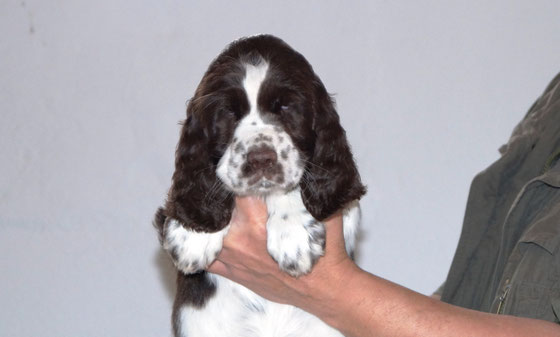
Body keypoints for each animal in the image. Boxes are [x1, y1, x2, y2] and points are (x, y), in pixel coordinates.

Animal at [153, 34, 366, 336]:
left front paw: (294, 236)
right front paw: (192, 238)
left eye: (286, 106)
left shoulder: (343, 204)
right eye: (228, 112)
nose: (261, 159)